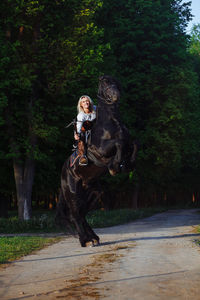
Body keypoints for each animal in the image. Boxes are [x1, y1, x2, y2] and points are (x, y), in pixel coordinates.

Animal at [55, 75, 138, 246]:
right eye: (104, 84)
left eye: (115, 82)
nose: (115, 96)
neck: (111, 124)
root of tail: (63, 174)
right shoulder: (101, 150)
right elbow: (118, 144)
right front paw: (114, 167)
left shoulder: (129, 143)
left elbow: (134, 143)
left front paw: (129, 165)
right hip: (73, 193)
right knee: (75, 215)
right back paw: (85, 240)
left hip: (93, 193)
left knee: (82, 214)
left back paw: (94, 238)